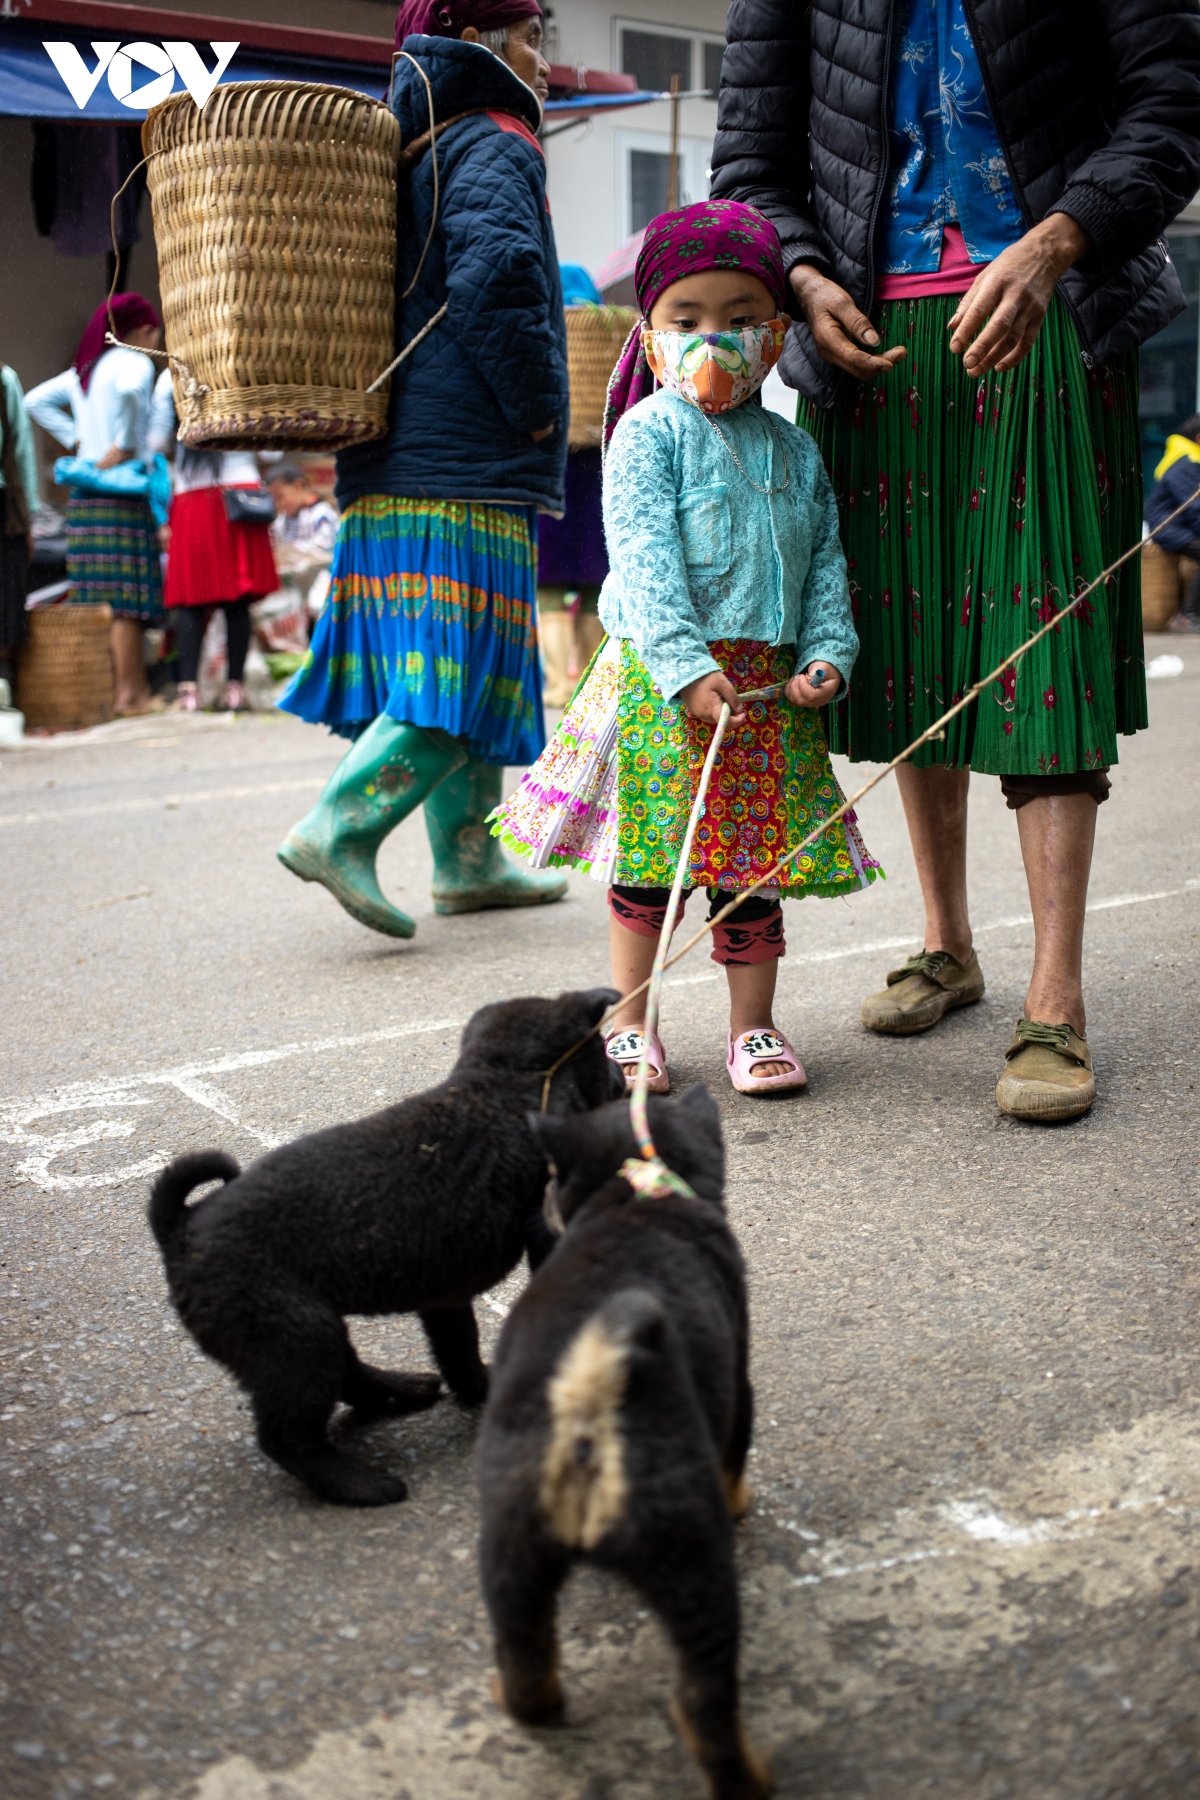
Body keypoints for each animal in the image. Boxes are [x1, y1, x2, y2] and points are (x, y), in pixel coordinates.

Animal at [147, 993, 618, 1512]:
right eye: (605, 1052)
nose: (624, 1073)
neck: (506, 1085)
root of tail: (179, 1230)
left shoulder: (444, 1291)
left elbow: (459, 1346)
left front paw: (481, 1389)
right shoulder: (543, 1235)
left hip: (306, 1329)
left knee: (346, 1376)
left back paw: (400, 1390)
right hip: (292, 1336)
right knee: (287, 1434)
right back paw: (360, 1483)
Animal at [474, 1080, 773, 1800]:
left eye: (552, 1177)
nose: (542, 1199)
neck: (637, 1199)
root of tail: (586, 1419)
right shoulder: (741, 1381)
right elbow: (736, 1459)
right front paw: (742, 1500)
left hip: (510, 1554)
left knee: (530, 1675)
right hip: (693, 1562)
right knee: (704, 1706)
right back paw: (753, 1778)